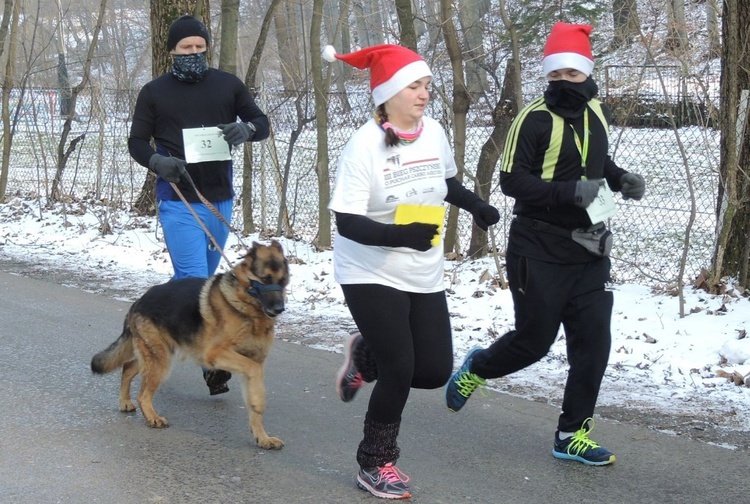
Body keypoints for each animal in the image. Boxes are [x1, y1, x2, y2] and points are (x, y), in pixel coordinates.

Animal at [89, 240, 288, 448]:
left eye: (283, 281)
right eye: (265, 279)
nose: (280, 308)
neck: (246, 307)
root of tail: (138, 302)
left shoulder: (249, 363)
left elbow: (254, 401)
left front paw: (262, 436)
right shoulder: (217, 355)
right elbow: (254, 371)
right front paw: (260, 402)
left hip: (159, 355)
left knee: (127, 367)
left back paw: (125, 402)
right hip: (161, 360)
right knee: (143, 394)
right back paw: (152, 417)